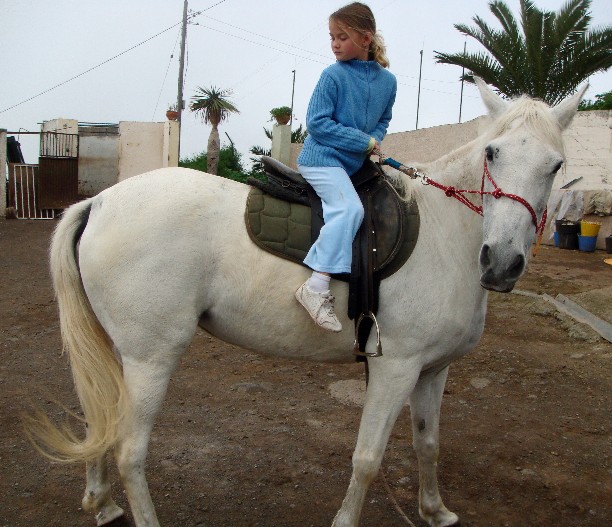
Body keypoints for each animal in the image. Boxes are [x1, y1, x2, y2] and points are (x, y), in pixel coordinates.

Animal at [28, 79, 588, 527]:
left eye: (555, 165)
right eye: (492, 153)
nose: (501, 263)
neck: (445, 230)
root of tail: (100, 201)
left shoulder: (433, 370)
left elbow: (427, 443)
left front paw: (434, 512)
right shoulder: (396, 368)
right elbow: (367, 458)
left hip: (116, 350)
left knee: (100, 417)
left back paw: (101, 504)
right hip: (150, 358)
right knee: (129, 451)